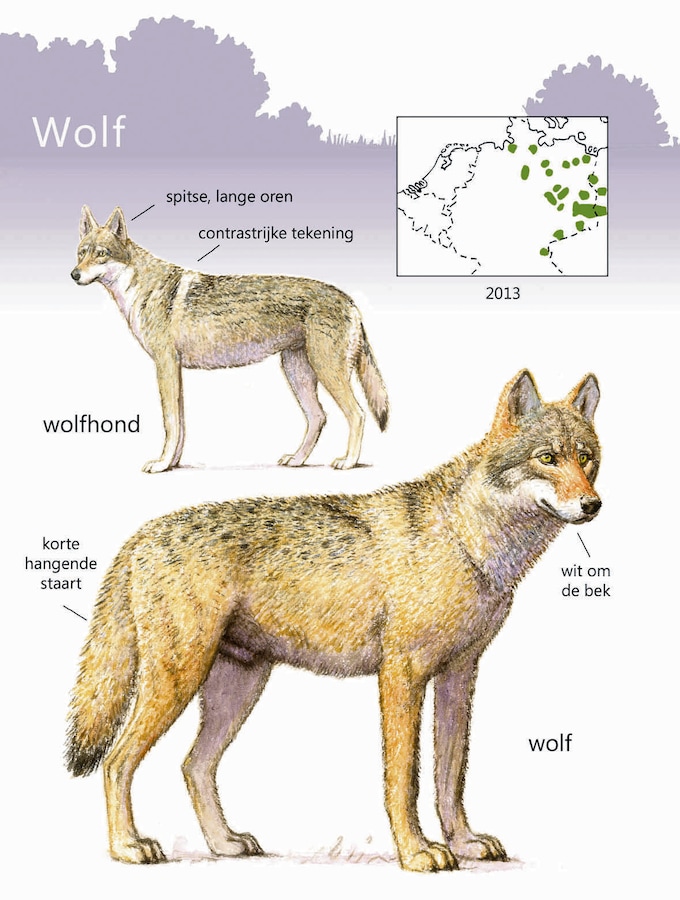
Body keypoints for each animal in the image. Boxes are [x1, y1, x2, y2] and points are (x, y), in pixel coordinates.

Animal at [66, 370, 601, 871]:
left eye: (587, 458)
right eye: (547, 458)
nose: (592, 504)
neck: (466, 537)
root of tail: (142, 534)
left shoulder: (458, 676)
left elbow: (449, 778)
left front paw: (464, 843)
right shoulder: (402, 675)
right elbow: (403, 779)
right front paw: (416, 852)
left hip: (236, 690)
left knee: (193, 766)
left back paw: (224, 844)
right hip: (178, 683)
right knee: (116, 762)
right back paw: (127, 847)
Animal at [70, 206, 388, 472]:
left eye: (101, 253)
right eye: (81, 253)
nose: (74, 274)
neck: (139, 286)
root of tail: (350, 301)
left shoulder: (165, 365)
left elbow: (170, 423)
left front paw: (161, 464)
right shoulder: (174, 370)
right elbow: (180, 425)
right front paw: (172, 464)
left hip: (326, 373)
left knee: (357, 414)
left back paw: (348, 461)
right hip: (298, 373)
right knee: (318, 417)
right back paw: (297, 460)